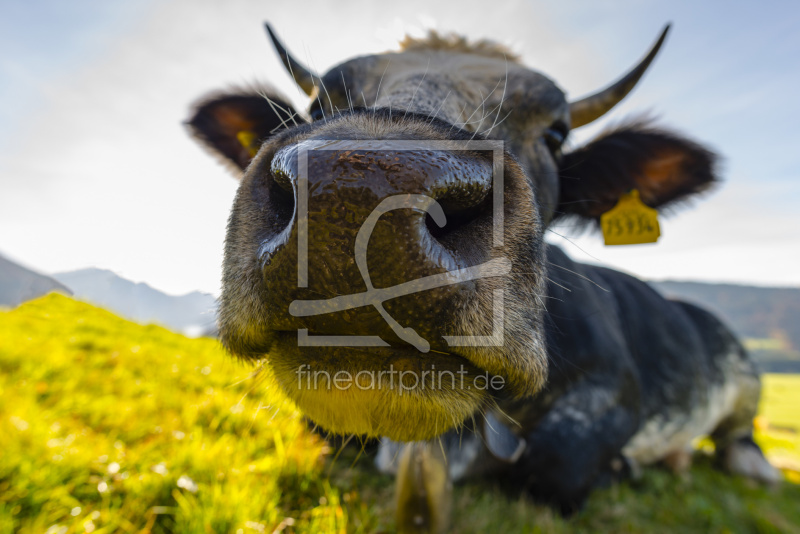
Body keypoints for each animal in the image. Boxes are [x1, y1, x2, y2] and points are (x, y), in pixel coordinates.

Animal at [184, 23, 780, 528]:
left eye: (556, 134)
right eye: (316, 104)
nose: (356, 194)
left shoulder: (617, 385)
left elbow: (552, 467)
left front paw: (619, 468)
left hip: (745, 381)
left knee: (738, 436)